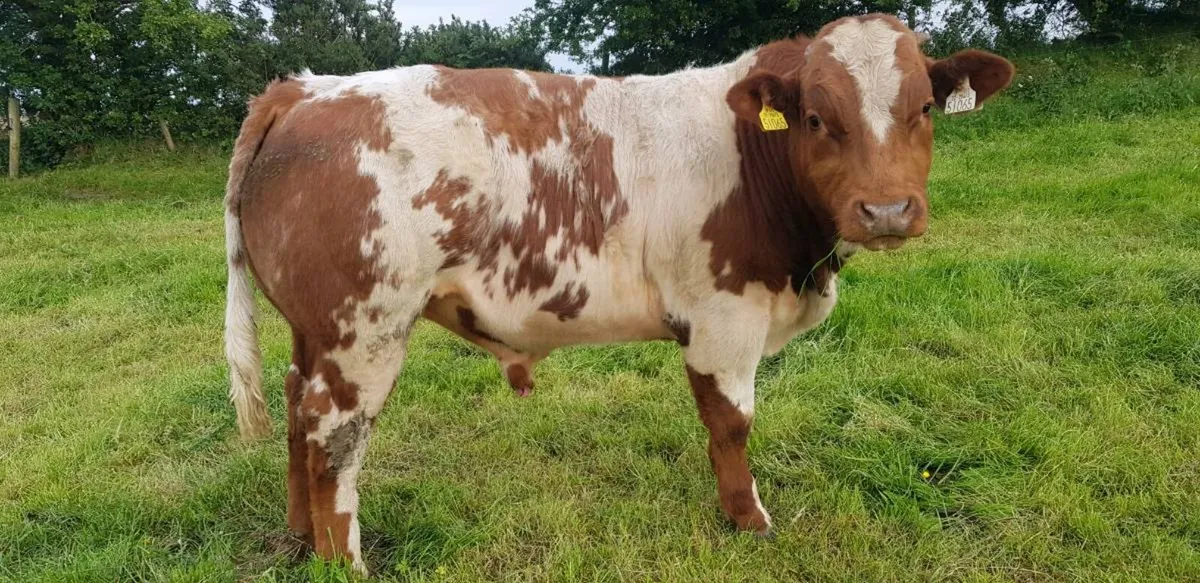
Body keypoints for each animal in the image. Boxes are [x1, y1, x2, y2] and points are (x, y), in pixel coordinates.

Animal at [223, 13, 1013, 573]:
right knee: (334, 438)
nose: (887, 211)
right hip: (364, 328)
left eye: (924, 109)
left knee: (296, 407)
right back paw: (343, 560)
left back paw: (298, 537)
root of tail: (307, 87)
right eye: (818, 118)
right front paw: (749, 521)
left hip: (314, 331)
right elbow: (730, 423)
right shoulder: (724, 316)